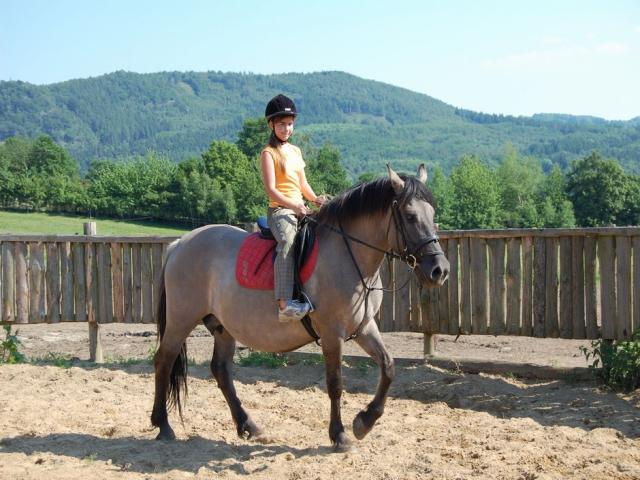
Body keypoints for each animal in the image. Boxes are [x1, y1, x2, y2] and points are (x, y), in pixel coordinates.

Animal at [150, 163, 450, 452]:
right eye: (410, 216)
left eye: (432, 214)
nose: (440, 270)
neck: (347, 255)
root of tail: (180, 243)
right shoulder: (332, 334)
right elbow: (335, 384)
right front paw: (339, 435)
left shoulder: (364, 328)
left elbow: (388, 367)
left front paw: (364, 422)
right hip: (181, 319)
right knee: (164, 360)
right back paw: (163, 425)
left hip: (223, 327)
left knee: (221, 370)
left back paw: (248, 426)